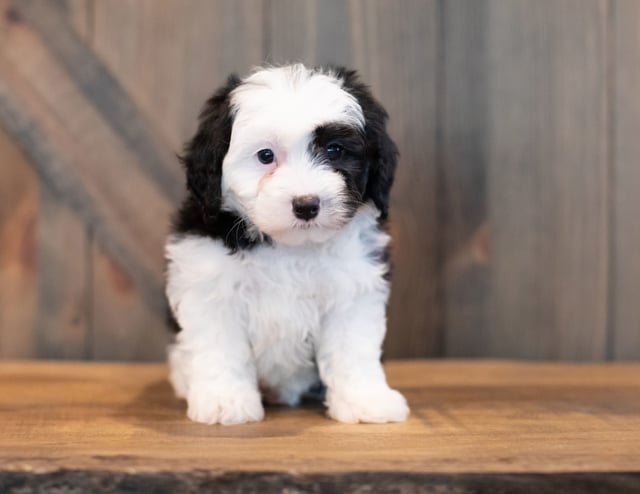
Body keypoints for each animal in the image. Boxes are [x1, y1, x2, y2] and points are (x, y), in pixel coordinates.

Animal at [162, 62, 408, 424]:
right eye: (266, 156)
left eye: (334, 150)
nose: (306, 205)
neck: (288, 245)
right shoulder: (210, 283)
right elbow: (220, 347)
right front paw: (225, 400)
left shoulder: (352, 288)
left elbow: (353, 347)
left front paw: (365, 399)